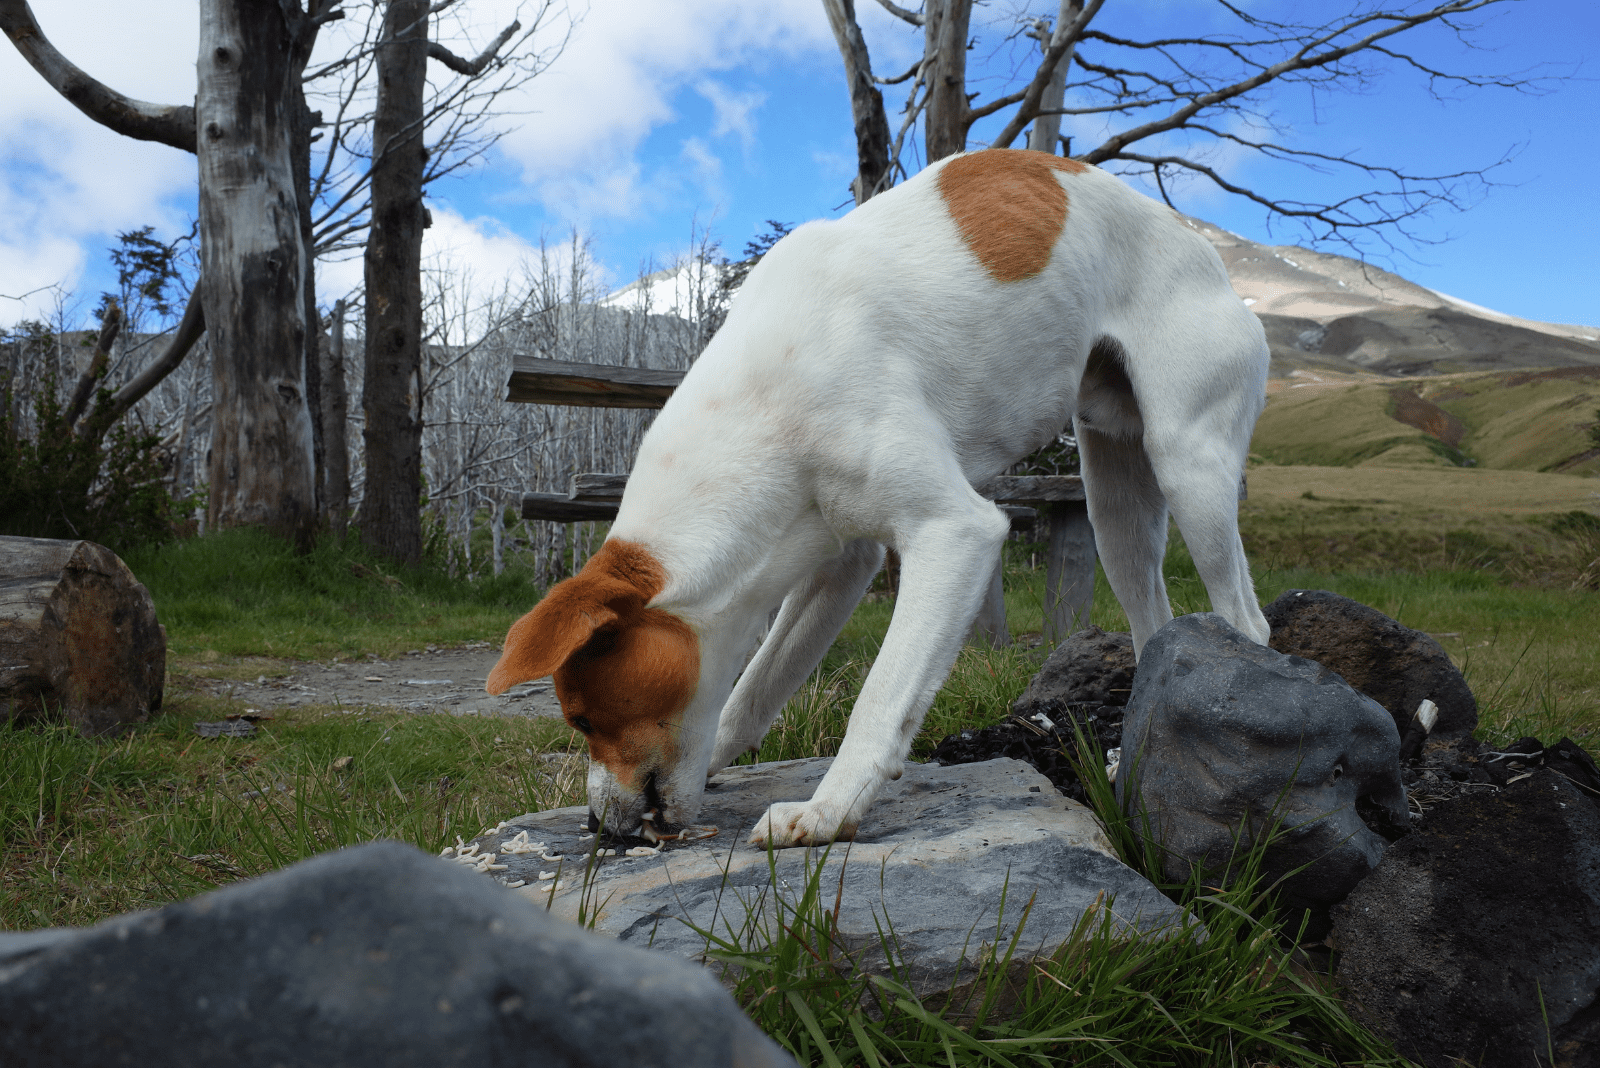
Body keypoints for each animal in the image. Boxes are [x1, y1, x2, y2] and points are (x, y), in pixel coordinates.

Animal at [486, 150, 1273, 850]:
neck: (771, 396)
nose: (595, 826)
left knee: (1246, 618)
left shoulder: (955, 535)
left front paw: (827, 811)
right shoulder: (837, 563)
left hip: (1190, 470)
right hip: (1115, 507)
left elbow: (879, 697)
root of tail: (1212, 260)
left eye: (583, 720)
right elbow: (752, 690)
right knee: (1153, 620)